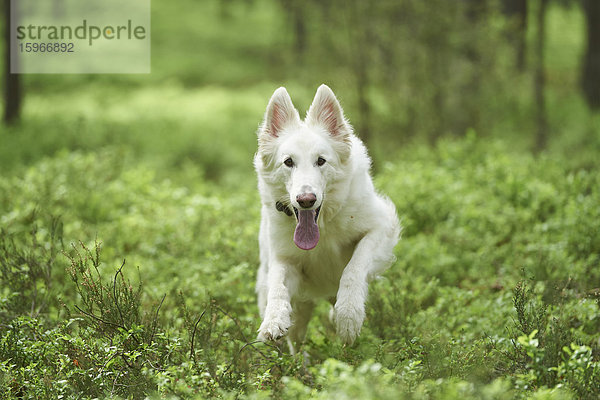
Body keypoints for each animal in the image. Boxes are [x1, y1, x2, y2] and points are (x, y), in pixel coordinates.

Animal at [252, 85, 398, 350]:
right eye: (288, 162)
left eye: (321, 161)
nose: (306, 200)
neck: (324, 226)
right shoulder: (285, 258)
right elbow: (277, 283)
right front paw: (274, 319)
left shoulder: (380, 227)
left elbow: (354, 267)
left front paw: (348, 315)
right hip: (298, 310)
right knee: (296, 343)